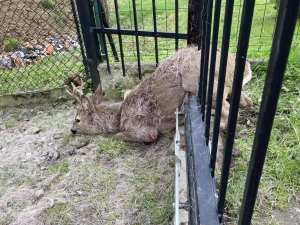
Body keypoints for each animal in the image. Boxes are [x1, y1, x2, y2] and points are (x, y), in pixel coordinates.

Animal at [68, 46, 253, 142]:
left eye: (77, 119)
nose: (72, 130)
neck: (120, 116)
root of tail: (246, 67)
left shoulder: (145, 130)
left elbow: (118, 136)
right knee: (246, 101)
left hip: (194, 75)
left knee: (228, 109)